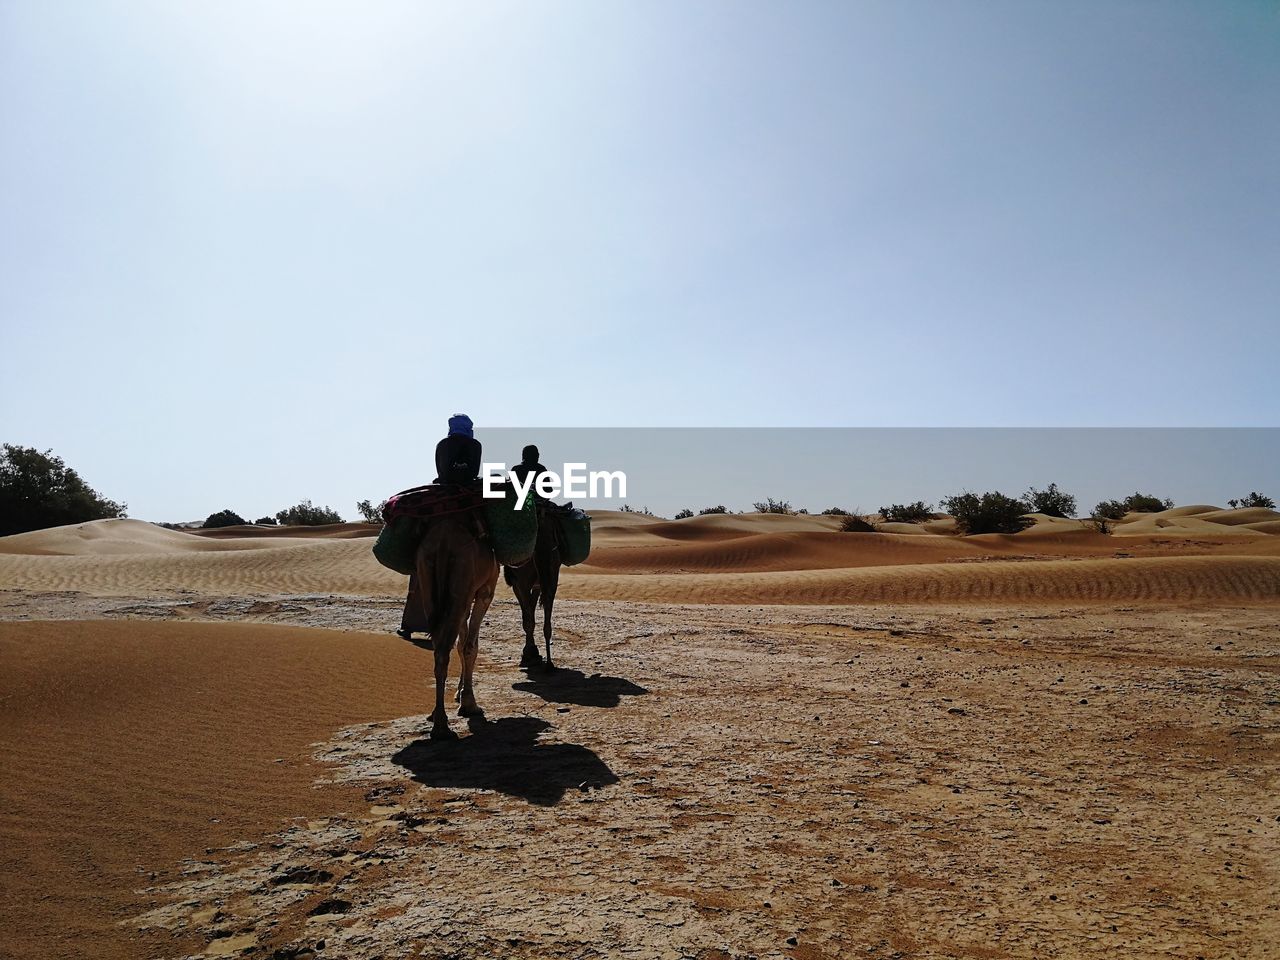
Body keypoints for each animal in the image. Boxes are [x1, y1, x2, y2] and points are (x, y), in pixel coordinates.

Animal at [417, 514, 501, 742]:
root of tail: (443, 542)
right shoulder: (484, 590)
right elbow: (470, 646)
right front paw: (469, 704)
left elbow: (461, 645)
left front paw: (460, 694)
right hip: (462, 581)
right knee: (443, 651)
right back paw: (441, 728)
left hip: (427, 579)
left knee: (439, 647)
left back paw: (435, 717)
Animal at [504, 506, 560, 670]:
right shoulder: (537, 585)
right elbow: (532, 612)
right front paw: (533, 651)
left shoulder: (519, 584)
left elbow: (527, 616)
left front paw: (529, 652)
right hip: (552, 572)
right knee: (547, 611)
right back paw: (549, 663)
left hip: (523, 578)